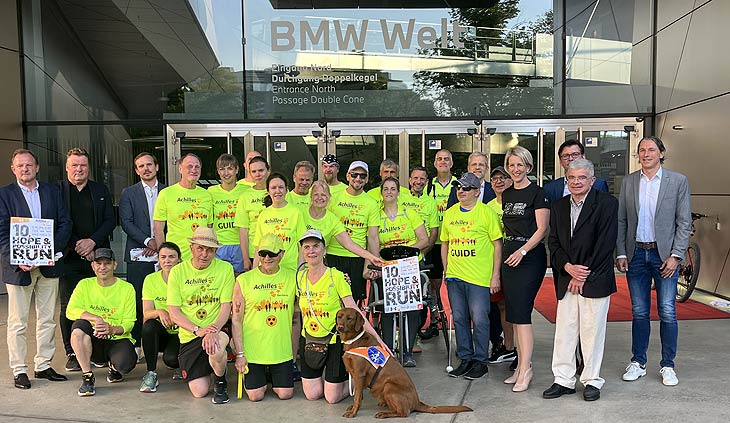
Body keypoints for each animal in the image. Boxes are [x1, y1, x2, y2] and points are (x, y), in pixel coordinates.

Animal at [336, 306, 472, 420]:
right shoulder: (355, 375)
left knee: (403, 412)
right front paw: (353, 408)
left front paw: (353, 412)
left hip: (389, 386)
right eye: (339, 317)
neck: (353, 340)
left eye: (349, 318)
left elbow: (357, 397)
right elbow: (358, 395)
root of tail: (417, 402)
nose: (340, 327)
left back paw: (384, 414)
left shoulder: (359, 375)